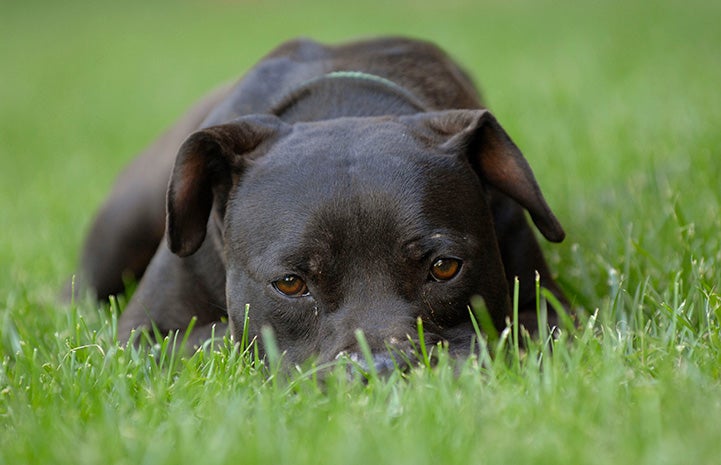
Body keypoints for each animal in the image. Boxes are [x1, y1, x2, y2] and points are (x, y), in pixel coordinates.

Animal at [74, 35, 568, 370]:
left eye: (445, 267)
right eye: (290, 284)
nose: (382, 369)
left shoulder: (548, 311)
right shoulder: (145, 336)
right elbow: (224, 337)